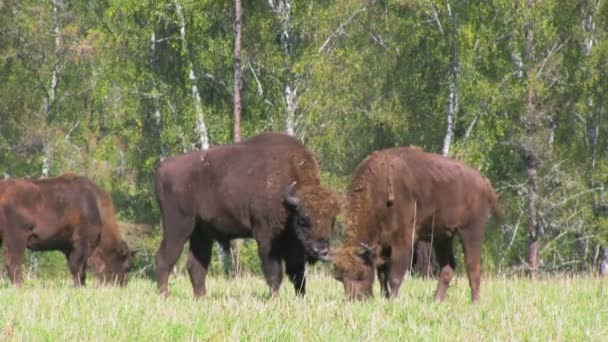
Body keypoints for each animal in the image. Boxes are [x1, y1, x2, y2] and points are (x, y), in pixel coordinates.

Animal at [0, 174, 132, 286]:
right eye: (127, 267)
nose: (122, 284)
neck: (97, 207)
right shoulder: (82, 242)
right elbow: (76, 266)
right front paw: (79, 286)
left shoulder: (70, 247)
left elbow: (79, 267)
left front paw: (82, 285)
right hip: (17, 238)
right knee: (13, 263)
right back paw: (20, 286)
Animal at [154, 132, 340, 298]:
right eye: (303, 219)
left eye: (332, 220)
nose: (321, 250)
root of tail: (164, 167)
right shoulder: (266, 237)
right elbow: (274, 272)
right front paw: (275, 298)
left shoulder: (294, 245)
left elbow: (298, 274)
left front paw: (301, 298)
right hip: (178, 227)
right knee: (165, 258)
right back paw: (164, 296)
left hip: (201, 232)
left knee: (196, 265)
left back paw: (201, 298)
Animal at [330, 147, 502, 302]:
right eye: (339, 278)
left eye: (362, 274)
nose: (355, 298)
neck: (376, 193)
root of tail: (483, 182)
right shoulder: (382, 247)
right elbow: (382, 275)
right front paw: (385, 297)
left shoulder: (402, 242)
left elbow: (394, 276)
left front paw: (392, 301)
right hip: (442, 237)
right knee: (447, 267)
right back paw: (436, 301)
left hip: (470, 231)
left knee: (472, 267)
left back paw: (475, 302)